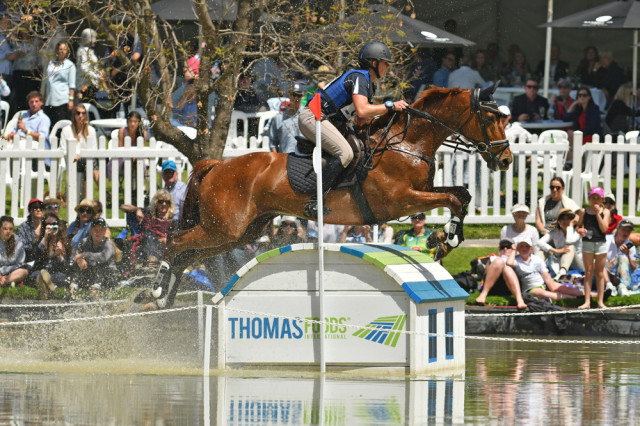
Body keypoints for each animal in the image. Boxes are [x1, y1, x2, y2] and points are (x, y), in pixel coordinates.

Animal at [142, 84, 512, 310]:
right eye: (490, 117)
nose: (506, 160)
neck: (409, 143)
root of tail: (218, 164)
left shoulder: (421, 192)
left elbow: (461, 194)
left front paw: (449, 238)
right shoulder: (402, 199)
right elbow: (453, 200)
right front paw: (448, 239)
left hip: (240, 232)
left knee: (188, 255)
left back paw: (162, 299)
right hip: (223, 228)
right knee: (175, 243)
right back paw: (157, 291)